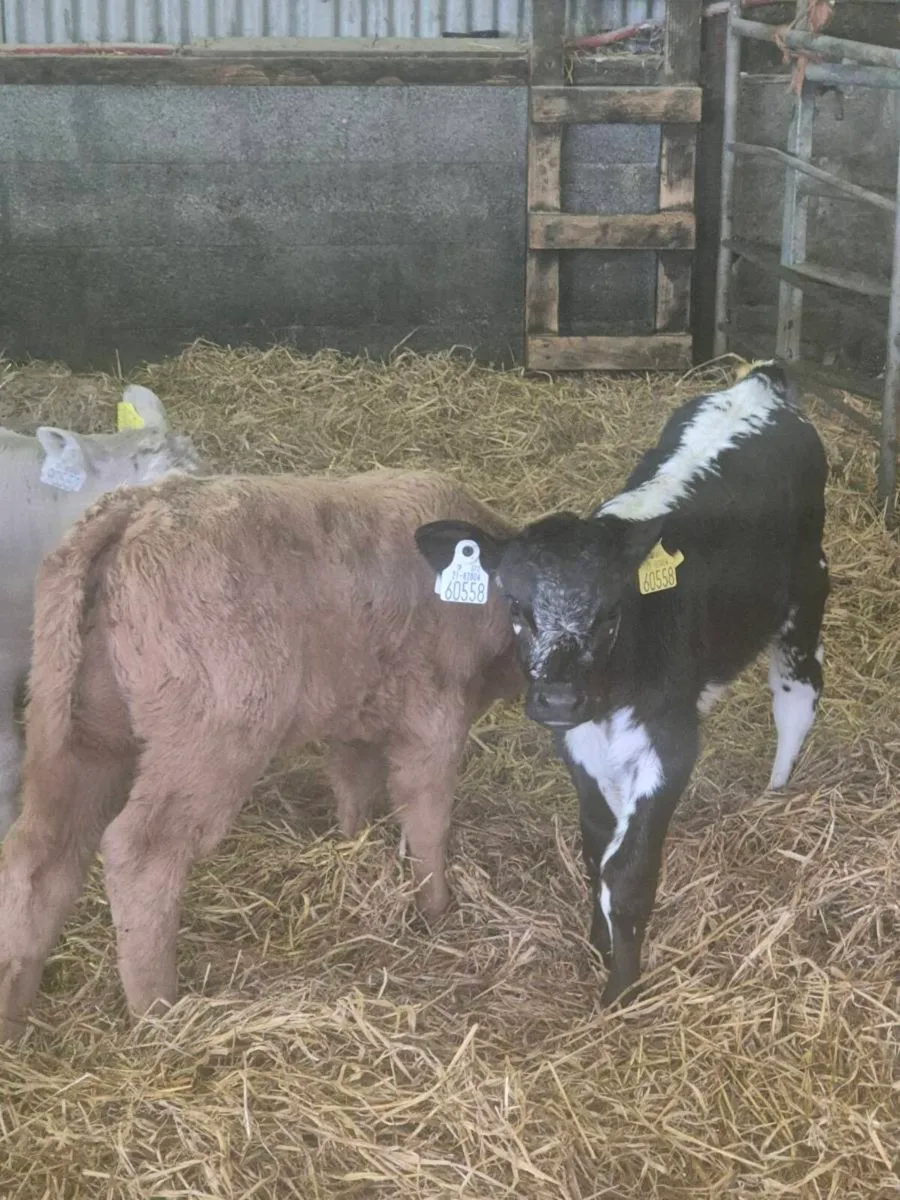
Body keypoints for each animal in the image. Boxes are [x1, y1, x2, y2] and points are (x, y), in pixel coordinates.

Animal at [0, 468, 522, 1040]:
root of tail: (138, 508)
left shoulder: (358, 712)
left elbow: (354, 787)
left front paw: (354, 849)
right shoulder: (433, 717)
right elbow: (427, 818)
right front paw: (436, 910)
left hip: (71, 728)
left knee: (37, 856)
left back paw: (14, 1008)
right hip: (211, 738)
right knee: (139, 853)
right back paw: (160, 1014)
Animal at [416, 362, 829, 1007]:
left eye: (611, 612)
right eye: (515, 607)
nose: (559, 698)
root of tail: (759, 383)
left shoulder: (670, 743)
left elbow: (628, 868)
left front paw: (621, 988)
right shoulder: (579, 742)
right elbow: (596, 849)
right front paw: (598, 941)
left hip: (807, 588)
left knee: (797, 693)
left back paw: (777, 791)